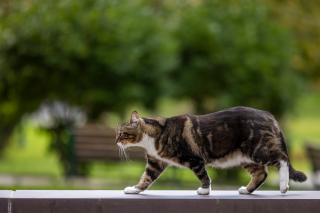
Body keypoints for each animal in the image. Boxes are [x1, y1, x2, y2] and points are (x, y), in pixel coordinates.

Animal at [115, 106, 308, 195]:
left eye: (122, 133)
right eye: (117, 134)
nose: (116, 141)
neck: (155, 136)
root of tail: (269, 115)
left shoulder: (193, 159)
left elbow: (203, 175)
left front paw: (205, 191)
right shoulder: (156, 163)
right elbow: (146, 179)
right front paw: (134, 189)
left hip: (257, 150)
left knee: (282, 159)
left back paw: (283, 186)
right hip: (245, 157)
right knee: (262, 173)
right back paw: (247, 190)